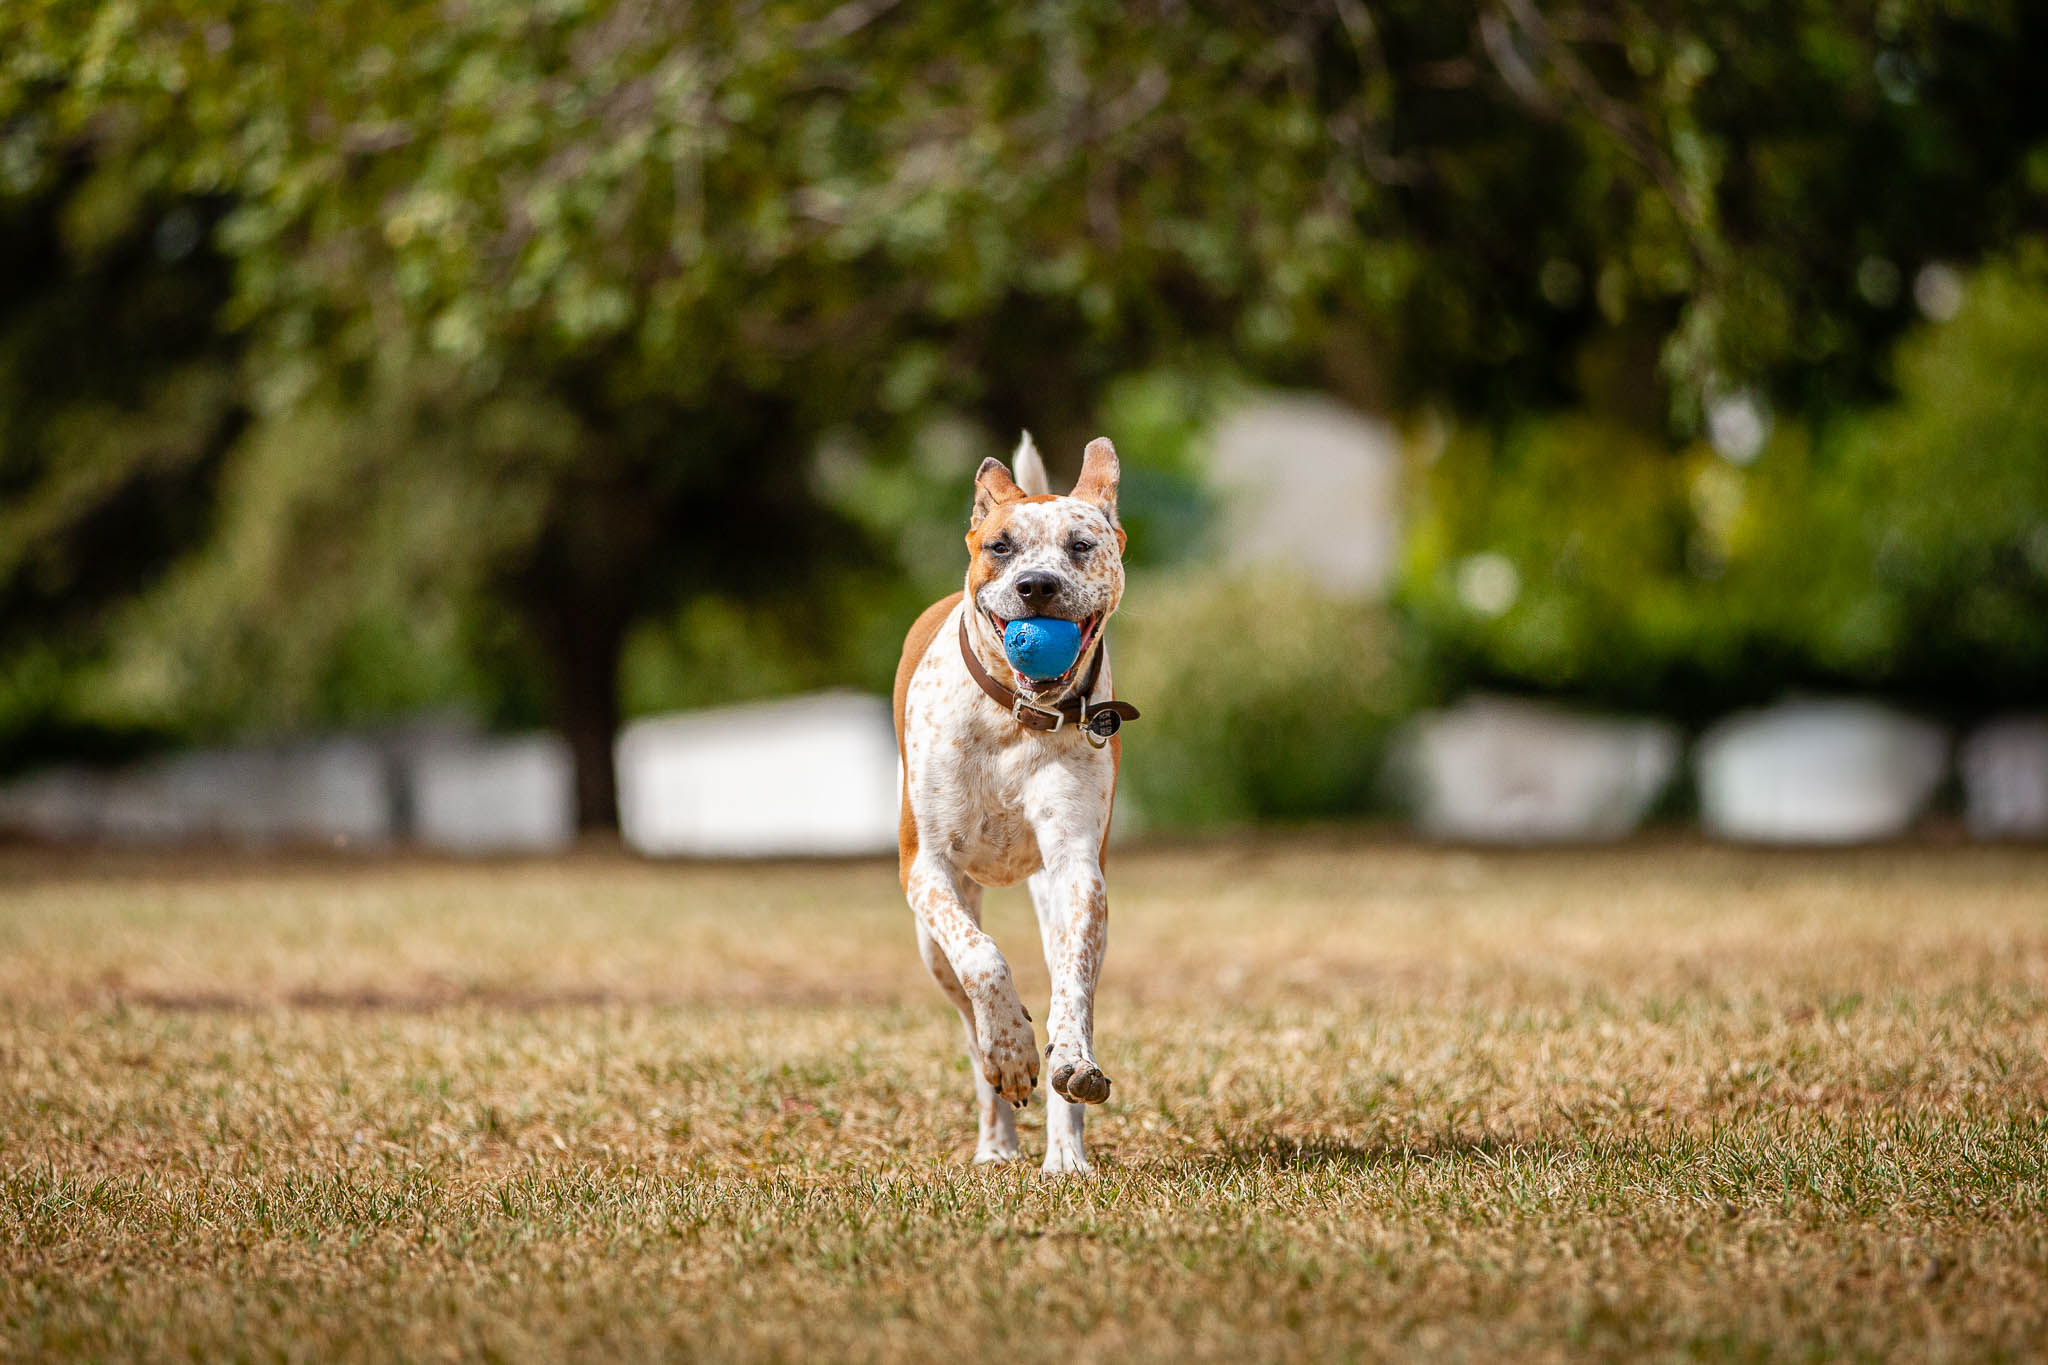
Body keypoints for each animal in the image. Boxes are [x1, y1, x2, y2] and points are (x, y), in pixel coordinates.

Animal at [892, 433, 1138, 1174]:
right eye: (1001, 546)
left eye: (1081, 545)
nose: (1037, 585)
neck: (1015, 716)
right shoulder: (927, 868)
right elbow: (984, 960)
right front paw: (1010, 1048)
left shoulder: (1078, 867)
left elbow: (1069, 993)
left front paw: (1067, 1061)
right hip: (930, 944)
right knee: (969, 1021)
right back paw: (997, 1137)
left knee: (1069, 988)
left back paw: (1065, 1148)